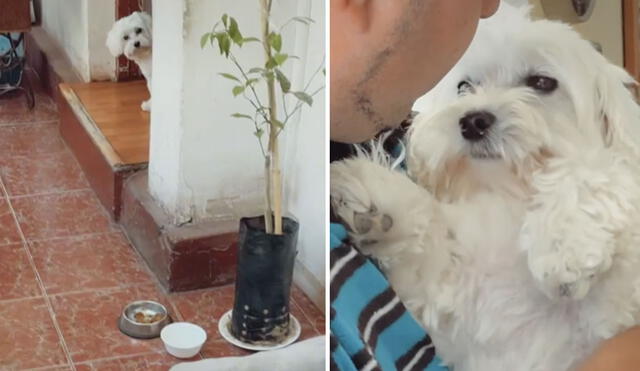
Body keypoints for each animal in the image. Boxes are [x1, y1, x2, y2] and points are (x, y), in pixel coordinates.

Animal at [330, 3, 640, 371]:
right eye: (464, 87)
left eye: (542, 82)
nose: (473, 121)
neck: (512, 197)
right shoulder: (459, 303)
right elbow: (430, 259)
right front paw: (380, 203)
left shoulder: (618, 304)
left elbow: (595, 169)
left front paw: (563, 246)